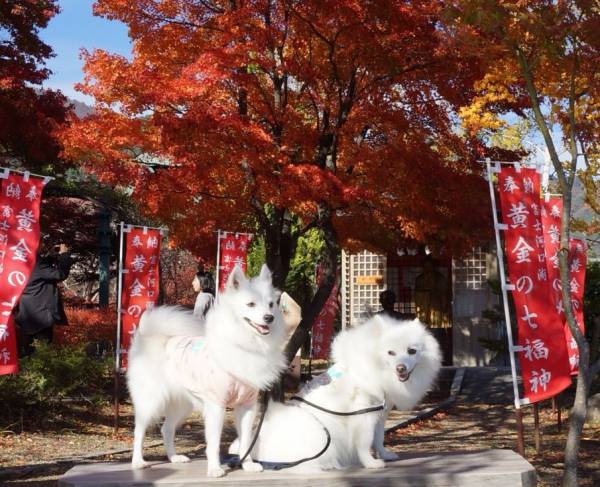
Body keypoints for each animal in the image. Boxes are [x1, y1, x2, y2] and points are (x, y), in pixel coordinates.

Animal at [127, 264, 288, 478]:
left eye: (270, 305)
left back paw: (174, 457)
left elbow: (246, 440)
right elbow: (214, 442)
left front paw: (247, 464)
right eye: (251, 304)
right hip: (151, 400)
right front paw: (214, 468)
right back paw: (138, 461)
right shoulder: (216, 405)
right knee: (139, 431)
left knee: (166, 429)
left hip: (182, 405)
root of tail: (149, 338)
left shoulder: (247, 405)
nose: (269, 318)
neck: (247, 344)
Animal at [246, 316, 442, 472]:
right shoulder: (363, 414)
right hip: (320, 433)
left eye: (412, 351)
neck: (377, 368)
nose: (400, 368)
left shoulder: (380, 413)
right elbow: (365, 442)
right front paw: (371, 463)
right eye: (391, 353)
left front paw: (385, 455)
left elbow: (379, 438)